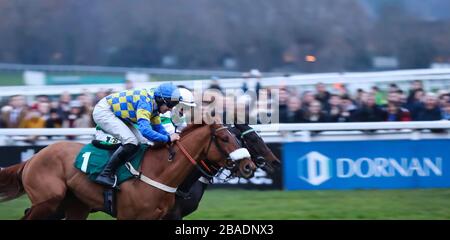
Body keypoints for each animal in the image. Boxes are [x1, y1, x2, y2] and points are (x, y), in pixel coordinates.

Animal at [0, 123, 253, 220]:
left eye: (236, 137)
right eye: (224, 138)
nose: (249, 165)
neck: (161, 172)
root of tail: (32, 159)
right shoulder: (128, 216)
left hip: (75, 204)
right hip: (49, 202)